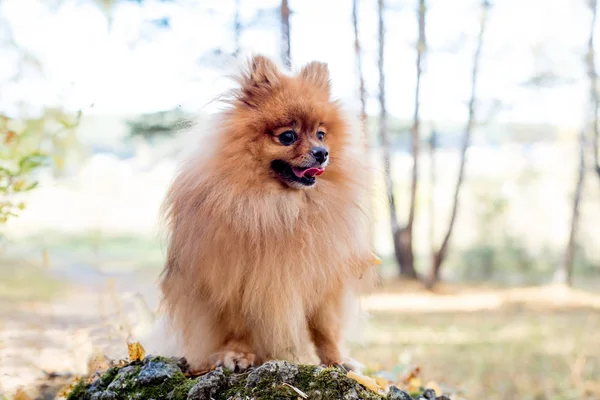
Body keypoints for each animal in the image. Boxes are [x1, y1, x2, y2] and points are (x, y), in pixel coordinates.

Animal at [146, 54, 376, 374]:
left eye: (321, 134)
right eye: (288, 136)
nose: (322, 153)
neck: (278, 206)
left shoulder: (323, 280)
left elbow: (325, 327)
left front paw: (337, 359)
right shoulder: (230, 279)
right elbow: (237, 326)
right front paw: (237, 354)